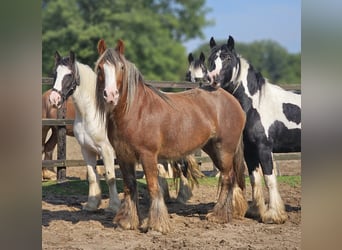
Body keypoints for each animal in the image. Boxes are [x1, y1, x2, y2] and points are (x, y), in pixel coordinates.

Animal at [95, 39, 247, 234]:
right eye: (100, 67)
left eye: (121, 67)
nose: (111, 95)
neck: (135, 111)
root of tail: (233, 101)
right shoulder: (123, 156)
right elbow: (130, 186)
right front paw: (128, 221)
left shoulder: (148, 155)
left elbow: (153, 187)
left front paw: (157, 225)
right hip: (212, 148)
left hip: (224, 149)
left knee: (228, 177)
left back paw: (218, 216)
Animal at [204, 36, 300, 224]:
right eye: (211, 59)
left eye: (227, 58)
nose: (212, 79)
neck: (256, 104)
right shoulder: (250, 150)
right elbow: (255, 179)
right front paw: (256, 211)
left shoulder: (264, 148)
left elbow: (269, 179)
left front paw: (274, 215)